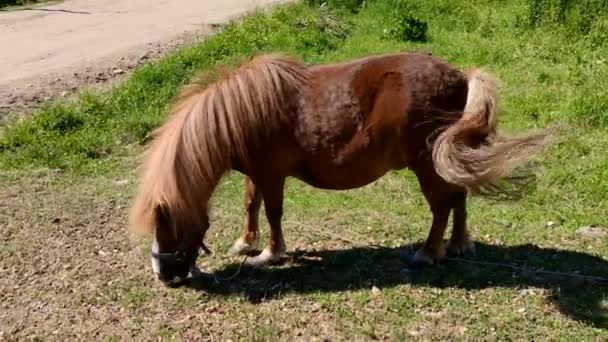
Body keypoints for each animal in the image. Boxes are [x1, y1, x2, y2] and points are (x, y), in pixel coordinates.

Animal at [128, 51, 552, 286]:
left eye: (166, 224)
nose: (162, 276)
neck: (245, 112)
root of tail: (460, 78)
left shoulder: (271, 175)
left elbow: (273, 212)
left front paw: (271, 252)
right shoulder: (255, 172)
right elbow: (251, 204)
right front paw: (245, 242)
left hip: (425, 165)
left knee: (441, 206)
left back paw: (429, 252)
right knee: (459, 196)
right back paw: (460, 244)